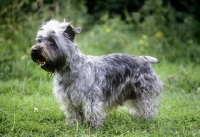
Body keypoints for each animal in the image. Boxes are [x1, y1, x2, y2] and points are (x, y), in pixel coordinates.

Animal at [30, 19, 162, 128]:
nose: (35, 50)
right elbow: (73, 114)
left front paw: (93, 127)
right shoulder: (69, 100)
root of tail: (145, 59)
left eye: (52, 41)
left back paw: (146, 121)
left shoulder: (90, 98)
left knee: (147, 108)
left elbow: (92, 112)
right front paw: (73, 125)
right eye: (39, 40)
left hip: (144, 95)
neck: (70, 70)